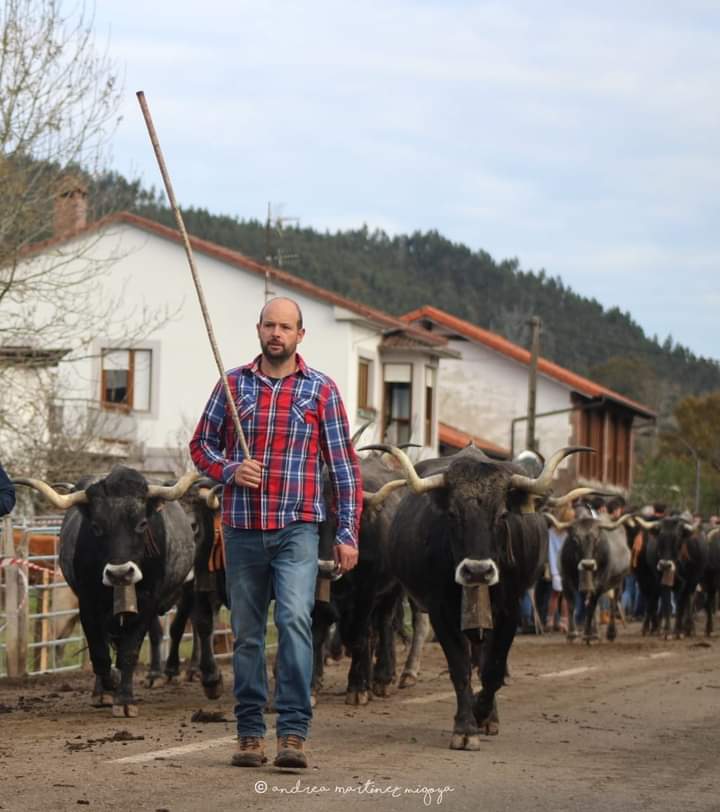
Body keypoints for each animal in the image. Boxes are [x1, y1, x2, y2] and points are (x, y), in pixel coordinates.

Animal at [14, 466, 198, 712]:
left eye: (142, 523)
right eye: (96, 527)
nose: (120, 573)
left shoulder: (148, 602)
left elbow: (129, 651)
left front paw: (126, 699)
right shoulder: (88, 603)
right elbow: (100, 654)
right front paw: (108, 687)